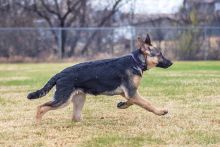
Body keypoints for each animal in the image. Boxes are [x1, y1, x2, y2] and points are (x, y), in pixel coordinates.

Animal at [27, 34, 172, 123]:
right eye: (160, 54)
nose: (171, 63)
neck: (136, 61)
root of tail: (60, 74)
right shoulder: (131, 92)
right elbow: (147, 103)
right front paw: (160, 111)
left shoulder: (129, 93)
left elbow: (132, 102)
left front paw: (122, 105)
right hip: (63, 100)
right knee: (40, 107)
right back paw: (38, 123)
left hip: (79, 99)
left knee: (75, 117)